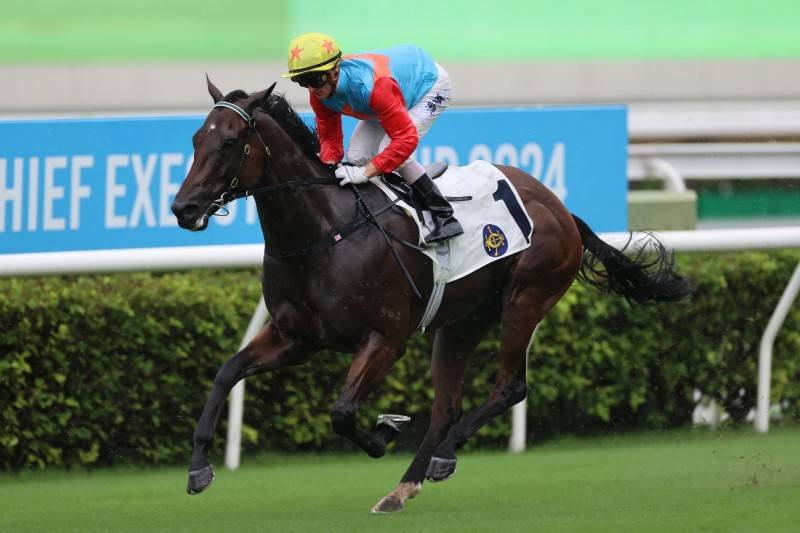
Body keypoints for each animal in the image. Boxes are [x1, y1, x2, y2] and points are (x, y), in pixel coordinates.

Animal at [172, 80, 692, 512]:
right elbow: (226, 373)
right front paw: (198, 467)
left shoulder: (385, 339)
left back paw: (444, 456)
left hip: (526, 298)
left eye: (230, 142)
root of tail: (561, 209)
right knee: (447, 407)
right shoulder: (295, 338)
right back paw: (403, 487)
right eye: (196, 139)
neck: (323, 232)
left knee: (509, 386)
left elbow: (342, 412)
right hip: (461, 322)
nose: (184, 207)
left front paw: (382, 433)